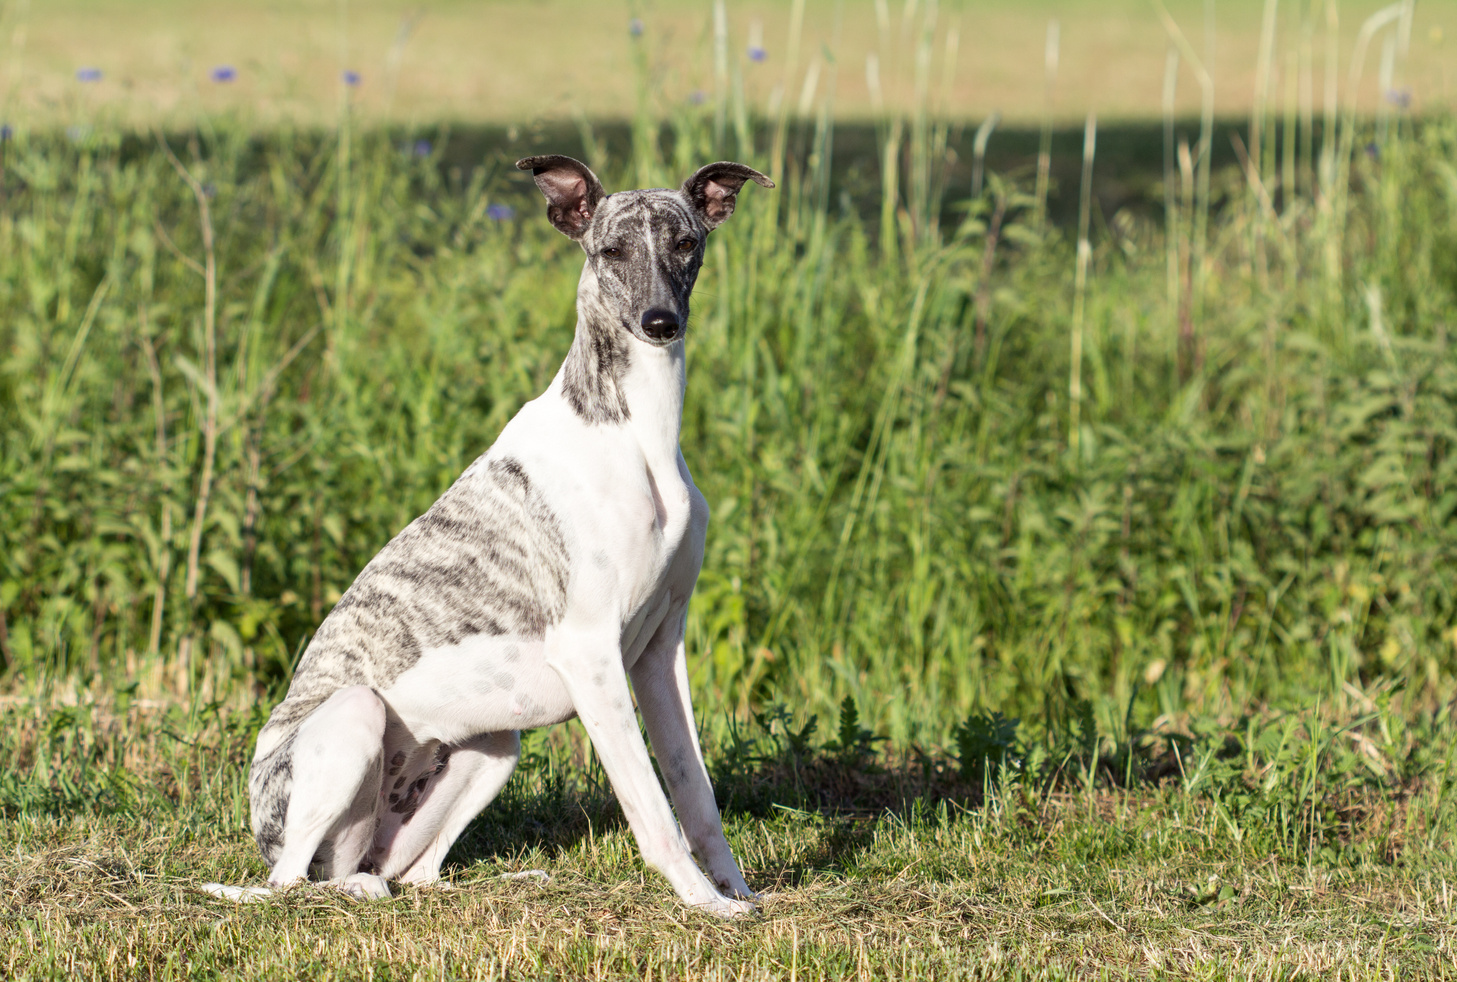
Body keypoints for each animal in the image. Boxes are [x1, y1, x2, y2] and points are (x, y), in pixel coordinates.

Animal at [206, 155, 780, 920]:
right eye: (610, 251)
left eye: (686, 243)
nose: (659, 323)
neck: (634, 431)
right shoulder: (591, 657)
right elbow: (651, 808)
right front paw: (703, 903)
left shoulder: (660, 653)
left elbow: (695, 791)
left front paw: (736, 891)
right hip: (354, 719)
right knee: (295, 883)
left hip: (492, 749)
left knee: (410, 872)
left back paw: (490, 880)